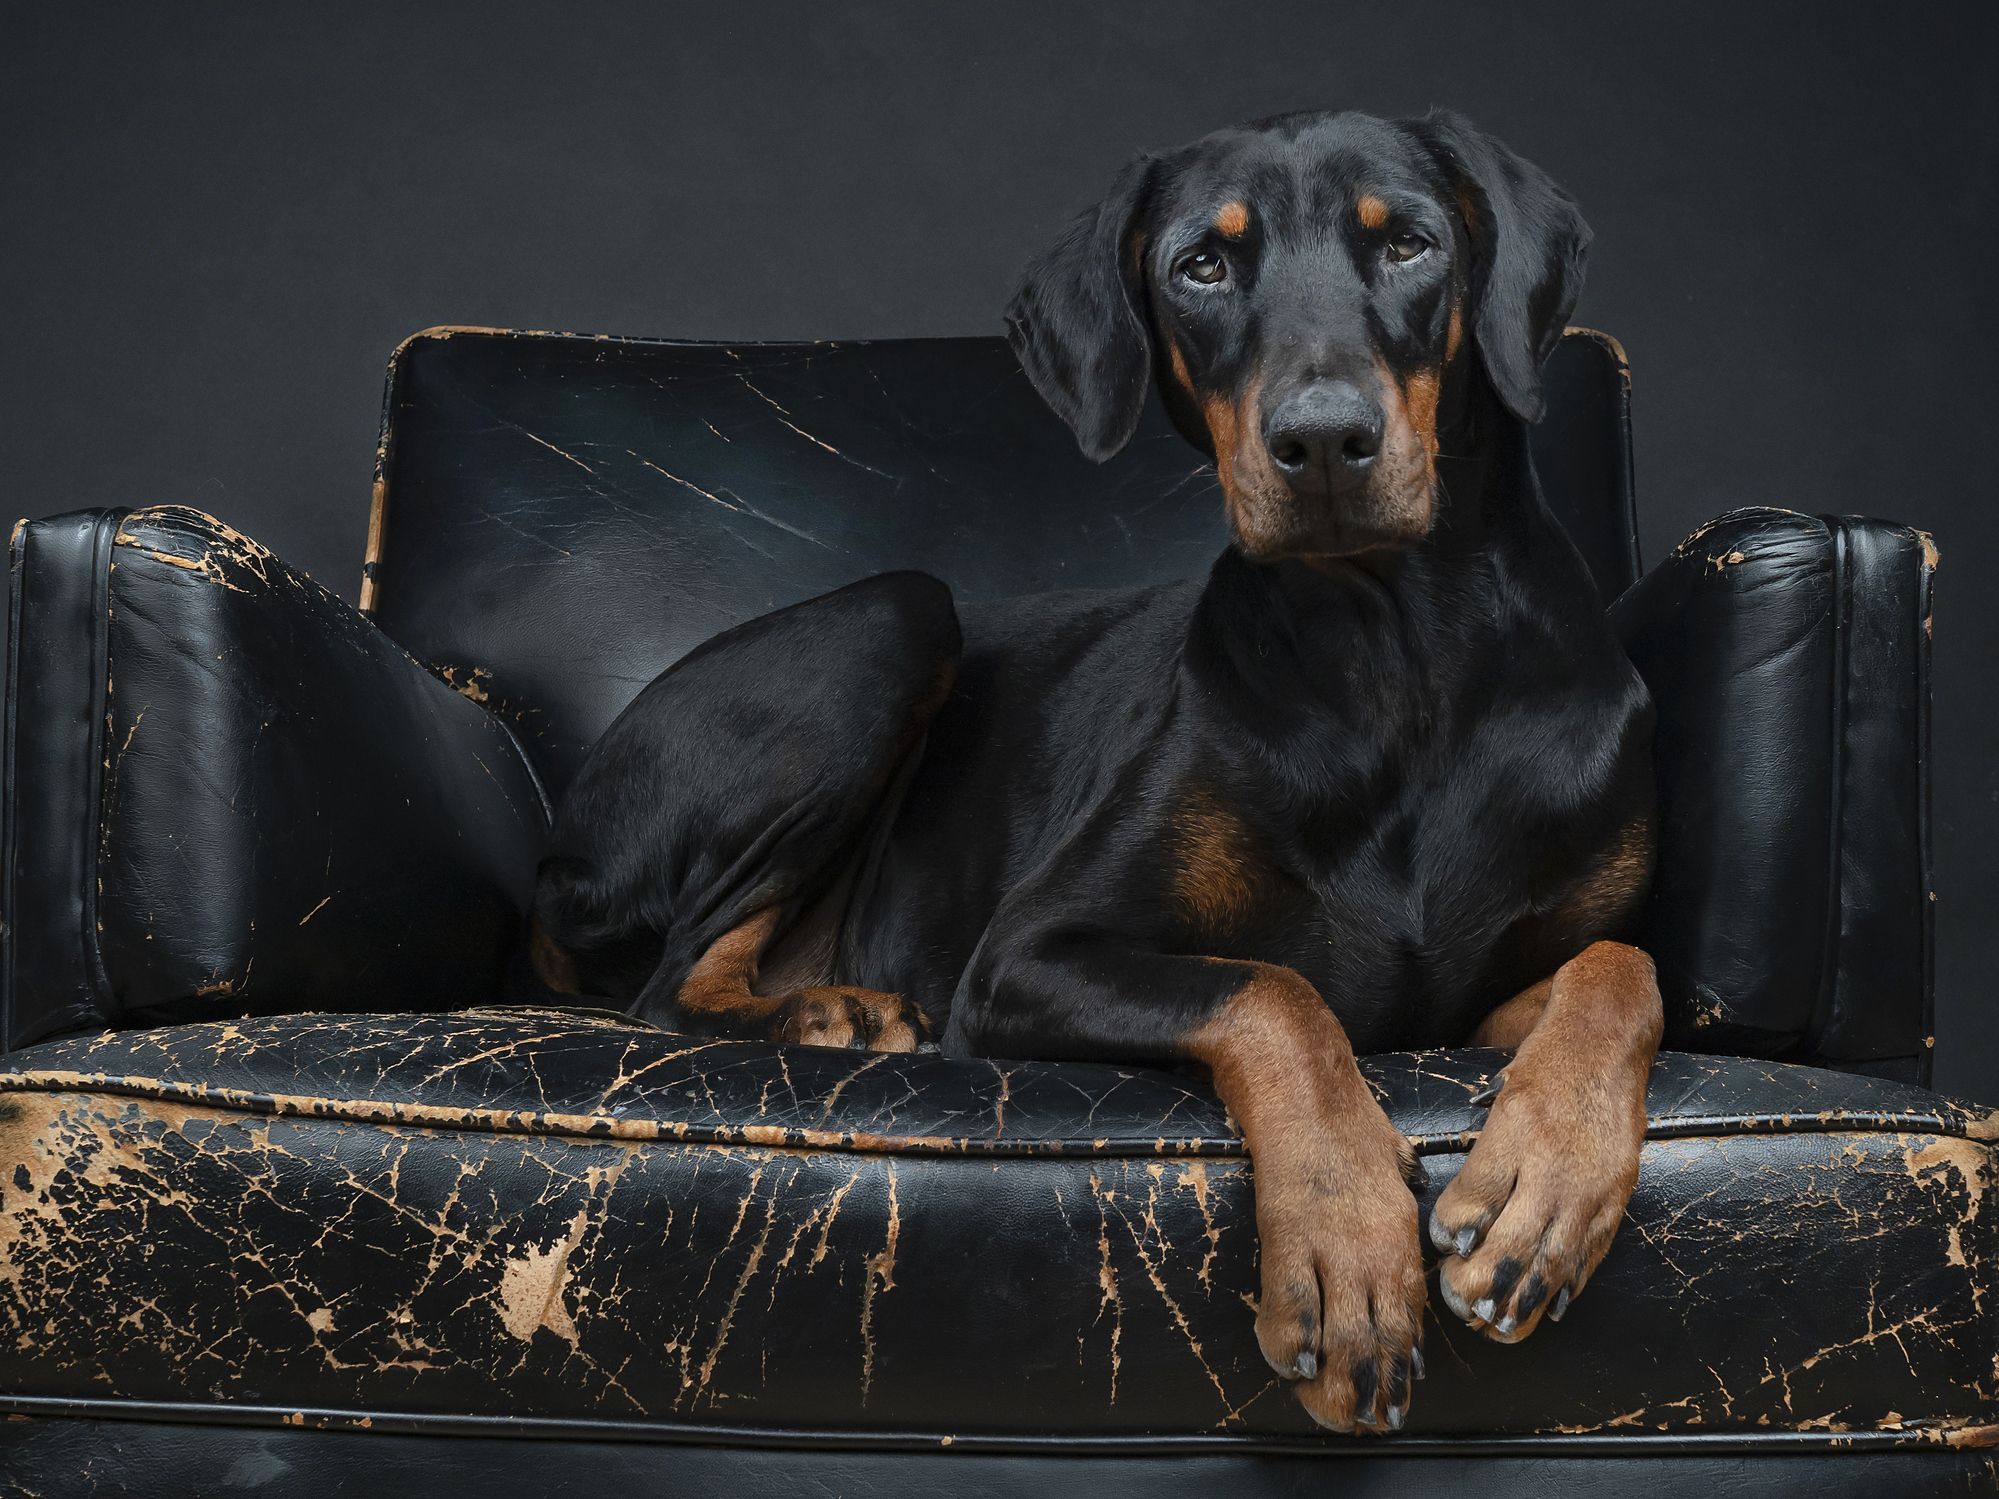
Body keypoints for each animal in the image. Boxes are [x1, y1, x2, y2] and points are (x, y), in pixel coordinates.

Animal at [527, 111, 1655, 1439]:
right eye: (1201, 266)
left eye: (1411, 243)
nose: (1324, 440)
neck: (1397, 659)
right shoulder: (1025, 956)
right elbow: (1274, 990)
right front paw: (1344, 1249)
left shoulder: (1468, 1001)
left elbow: (1621, 967)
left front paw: (1544, 1180)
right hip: (895, 617)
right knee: (665, 980)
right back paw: (832, 1009)